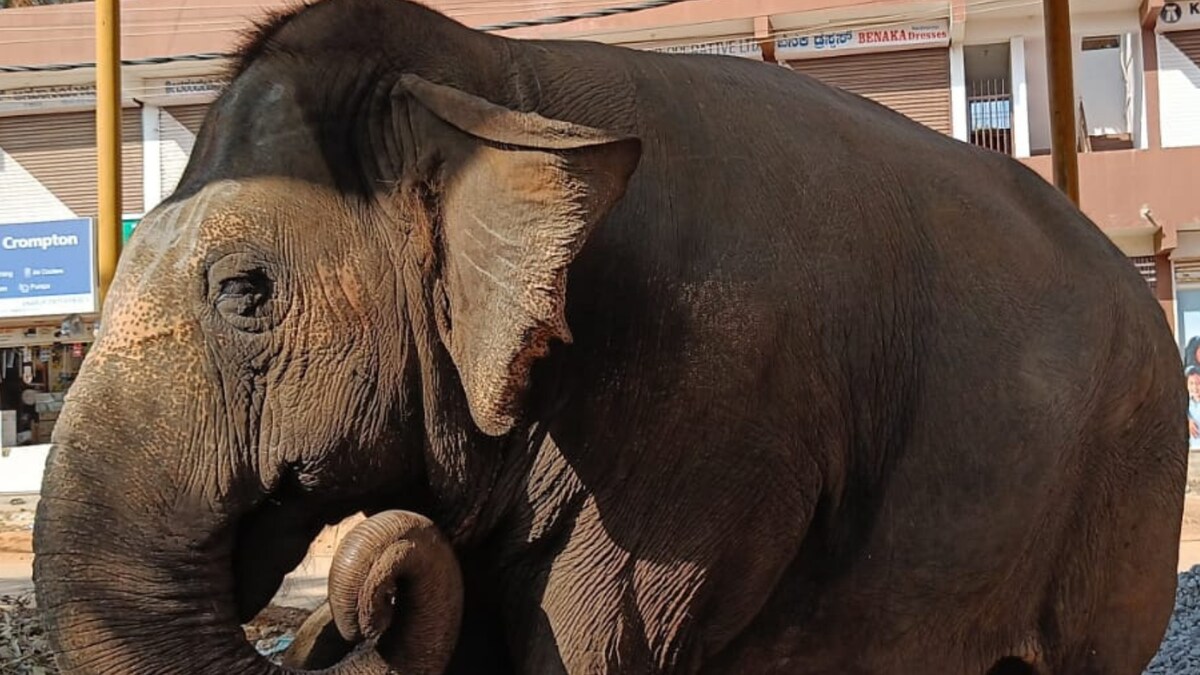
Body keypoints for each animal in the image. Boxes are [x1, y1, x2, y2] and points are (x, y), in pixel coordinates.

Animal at [32, 0, 1185, 667]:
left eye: (244, 292)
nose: (336, 618)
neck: (496, 82)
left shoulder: (703, 421)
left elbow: (596, 641)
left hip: (1129, 484)